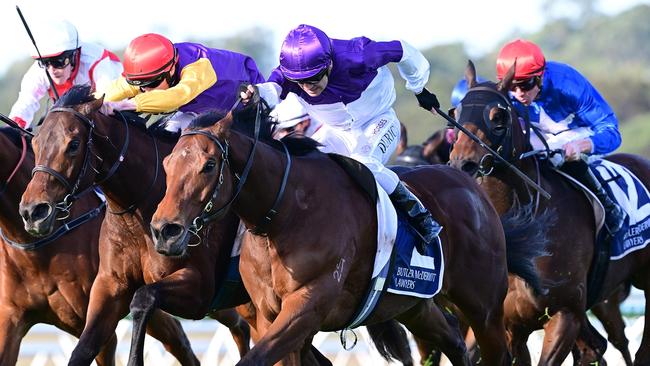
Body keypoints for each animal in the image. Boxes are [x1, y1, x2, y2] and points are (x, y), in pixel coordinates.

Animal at [17, 86, 251, 366]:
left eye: (73, 144)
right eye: (35, 142)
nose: (32, 211)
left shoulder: (200, 290)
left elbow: (143, 298)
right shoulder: (109, 284)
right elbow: (83, 349)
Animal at [147, 101, 548, 366]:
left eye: (208, 164)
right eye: (166, 163)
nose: (165, 230)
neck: (284, 214)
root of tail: (474, 190)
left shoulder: (307, 305)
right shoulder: (267, 314)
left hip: (484, 307)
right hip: (414, 305)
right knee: (453, 343)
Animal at [446, 61, 648, 364]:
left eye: (497, 116)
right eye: (456, 113)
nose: (463, 163)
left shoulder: (565, 314)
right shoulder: (506, 325)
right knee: (596, 346)